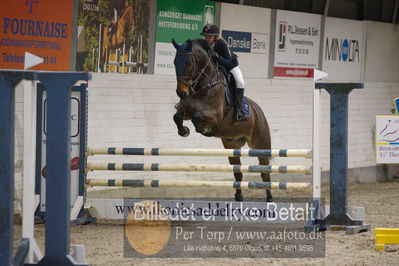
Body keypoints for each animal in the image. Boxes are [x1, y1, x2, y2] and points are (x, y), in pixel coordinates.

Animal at [173, 39, 274, 202]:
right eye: (175, 62)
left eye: (188, 63)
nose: (181, 92)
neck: (203, 86)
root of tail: (259, 111)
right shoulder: (186, 110)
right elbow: (177, 117)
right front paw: (184, 131)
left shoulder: (215, 116)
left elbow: (198, 117)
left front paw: (203, 128)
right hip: (231, 145)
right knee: (237, 172)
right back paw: (239, 196)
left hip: (260, 145)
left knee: (265, 172)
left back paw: (269, 198)